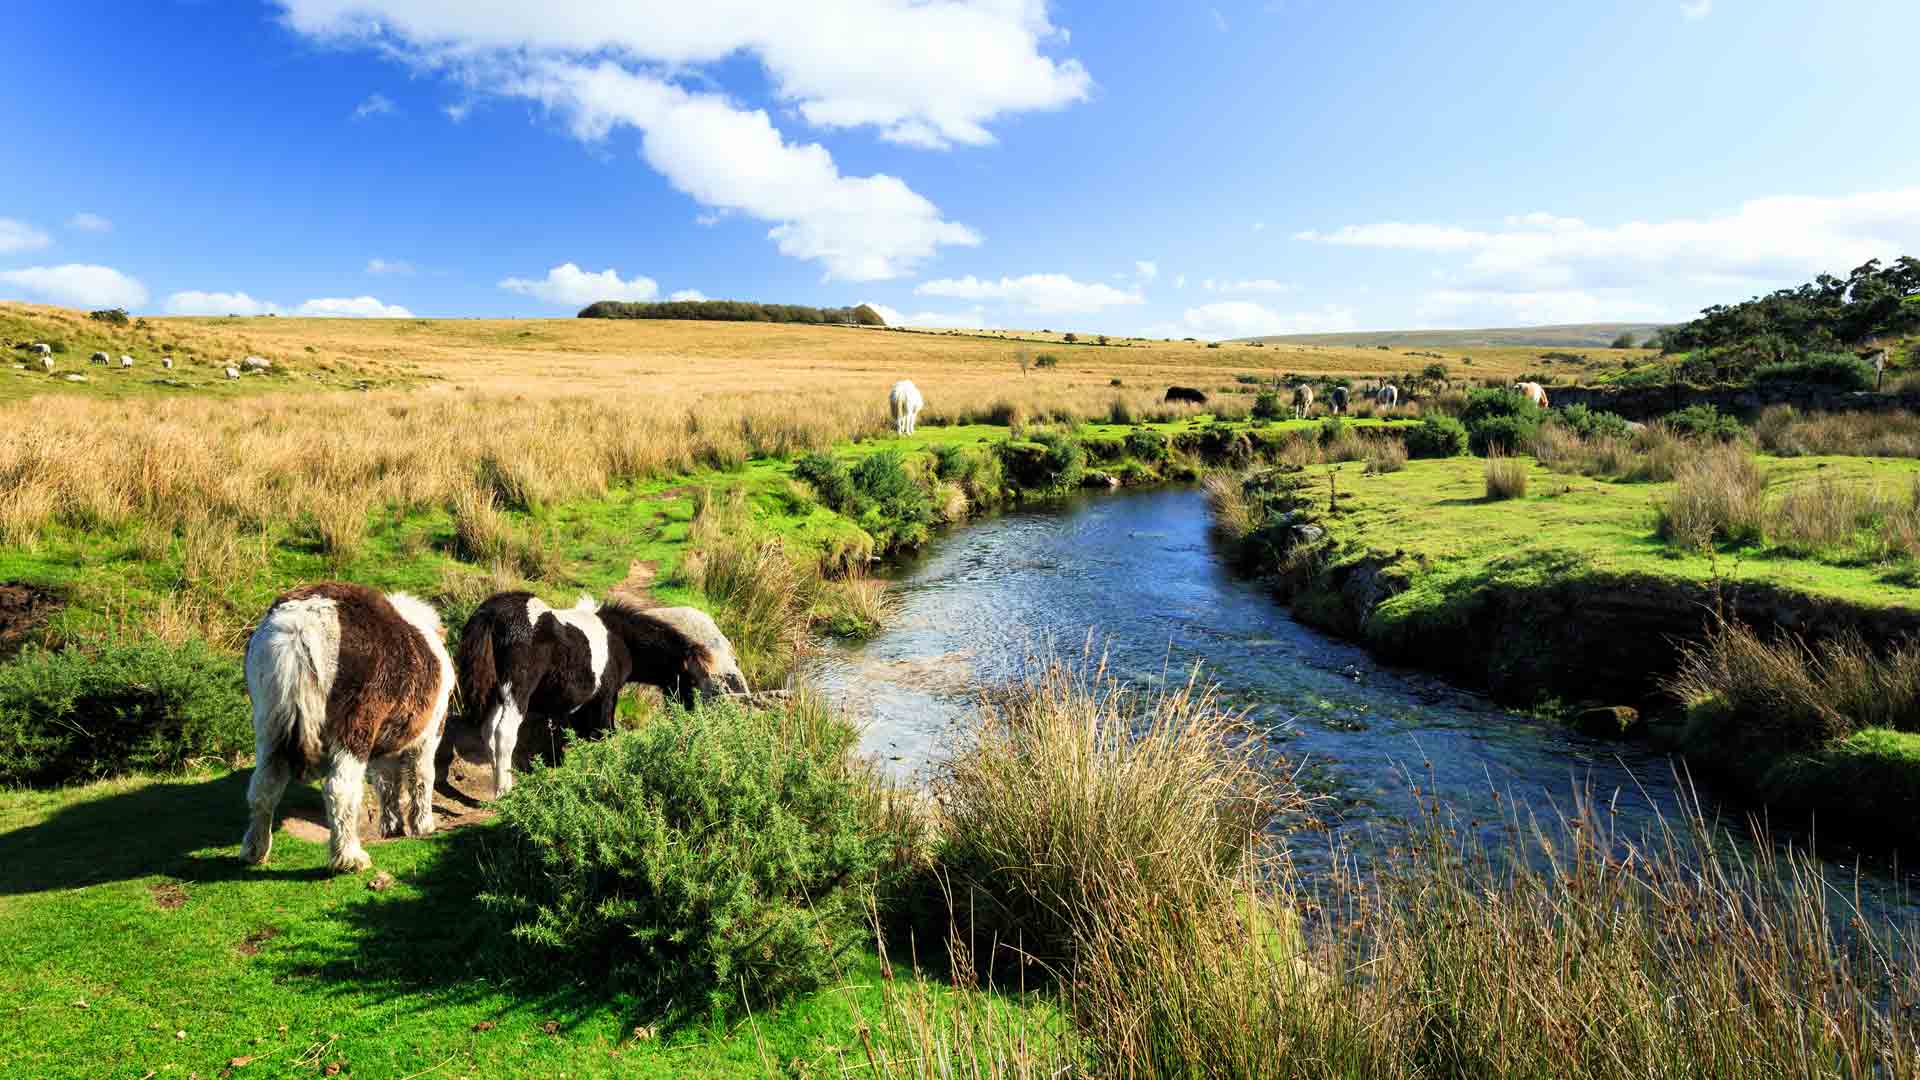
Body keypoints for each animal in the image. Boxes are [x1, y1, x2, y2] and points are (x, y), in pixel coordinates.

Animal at [241, 584, 455, 868]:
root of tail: (300, 624)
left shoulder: (383, 744)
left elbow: (386, 782)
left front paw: (392, 826)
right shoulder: (429, 736)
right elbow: (422, 776)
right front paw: (423, 826)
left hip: (269, 729)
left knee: (264, 787)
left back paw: (255, 850)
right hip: (354, 731)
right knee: (340, 790)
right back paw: (350, 858)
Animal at [453, 588, 744, 791]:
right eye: (692, 680)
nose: (690, 714)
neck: (620, 639)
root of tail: (492, 614)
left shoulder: (575, 706)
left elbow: (574, 735)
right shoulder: (606, 696)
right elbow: (604, 732)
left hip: (495, 693)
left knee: (488, 732)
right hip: (516, 692)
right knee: (504, 733)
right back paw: (505, 791)